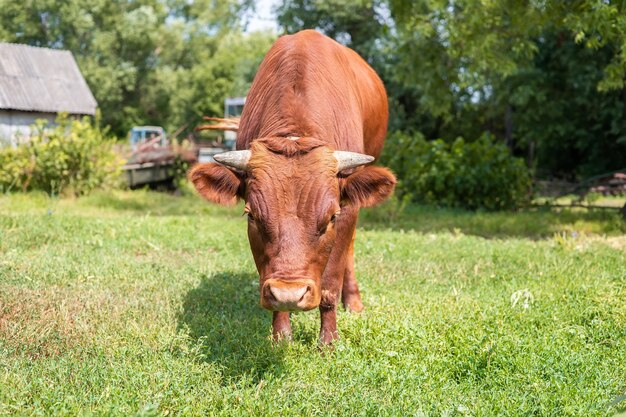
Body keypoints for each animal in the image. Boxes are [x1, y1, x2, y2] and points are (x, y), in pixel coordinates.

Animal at [189, 28, 394, 342]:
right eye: (252, 215)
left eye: (330, 217)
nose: (289, 294)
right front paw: (281, 336)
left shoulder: (347, 210)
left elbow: (330, 283)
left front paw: (328, 341)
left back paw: (353, 300)